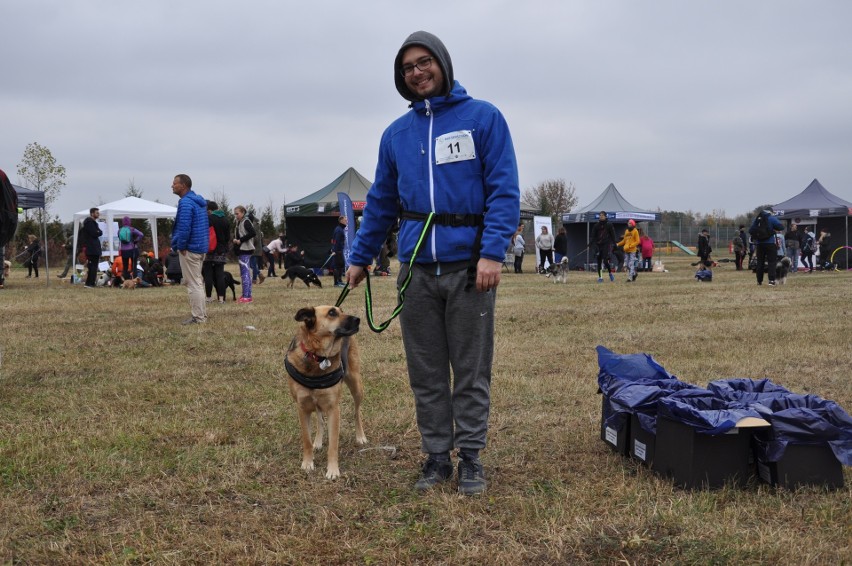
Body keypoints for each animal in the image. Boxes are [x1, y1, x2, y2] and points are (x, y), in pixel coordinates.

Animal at [286, 306, 366, 480]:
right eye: (332, 313)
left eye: (341, 310)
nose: (358, 319)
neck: (317, 357)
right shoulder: (302, 408)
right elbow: (306, 440)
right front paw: (308, 463)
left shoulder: (333, 409)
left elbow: (333, 445)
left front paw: (333, 470)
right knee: (320, 419)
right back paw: (318, 441)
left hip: (356, 386)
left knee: (357, 413)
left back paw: (360, 436)